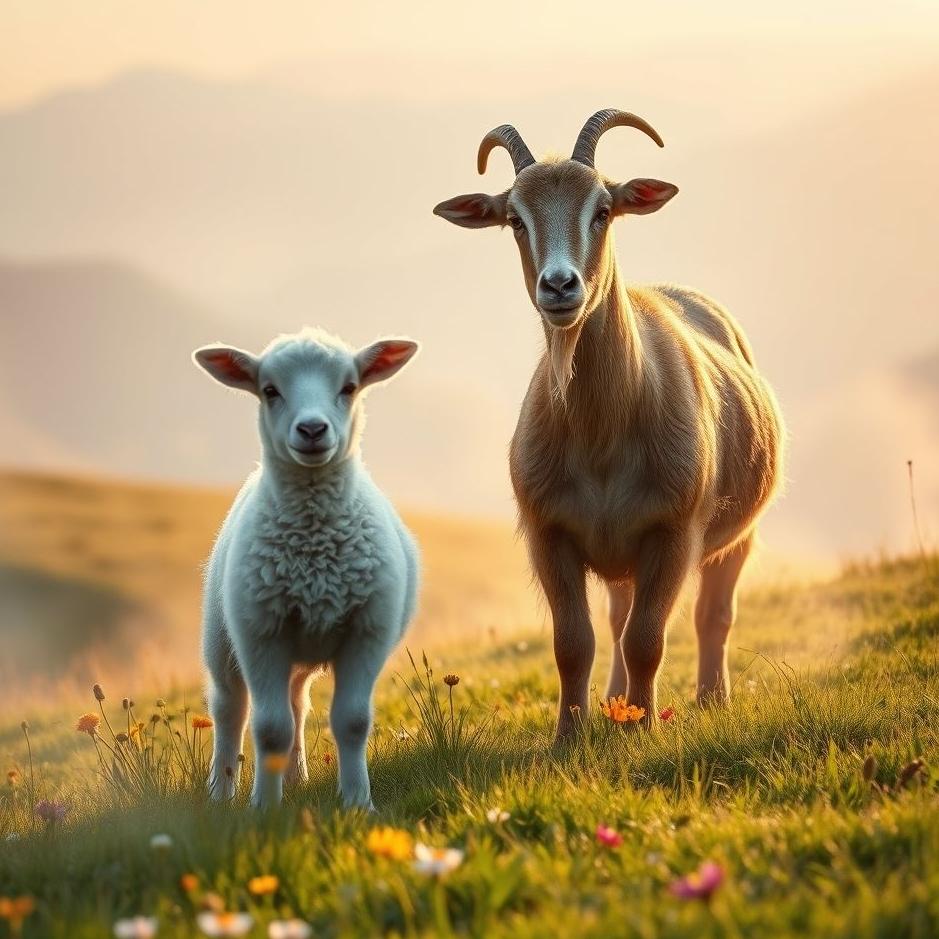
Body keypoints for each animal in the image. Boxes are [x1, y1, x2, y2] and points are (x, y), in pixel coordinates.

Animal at [192, 327, 420, 808]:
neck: (315, 546)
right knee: (230, 709)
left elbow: (351, 721)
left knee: (297, 703)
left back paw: (296, 776)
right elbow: (268, 729)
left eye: (349, 387)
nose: (312, 430)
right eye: (269, 390)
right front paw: (264, 806)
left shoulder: (367, 631)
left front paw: (358, 803)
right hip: (223, 639)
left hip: (300, 653)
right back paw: (221, 793)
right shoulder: (261, 633)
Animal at [435, 110, 784, 739]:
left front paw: (644, 731)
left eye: (602, 209)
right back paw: (617, 703)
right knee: (620, 617)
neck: (601, 439)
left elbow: (648, 638)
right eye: (514, 219)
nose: (559, 285)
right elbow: (574, 643)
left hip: (738, 531)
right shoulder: (548, 532)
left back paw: (708, 700)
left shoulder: (674, 529)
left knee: (711, 614)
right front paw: (568, 738)